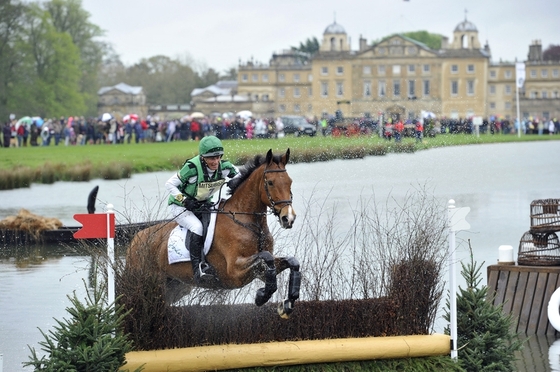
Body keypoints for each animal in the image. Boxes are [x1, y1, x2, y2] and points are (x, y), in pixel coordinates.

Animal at [127, 148, 302, 316]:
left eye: (290, 182)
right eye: (270, 182)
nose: (288, 218)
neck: (249, 224)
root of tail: (136, 239)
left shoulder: (258, 271)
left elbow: (291, 262)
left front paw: (287, 303)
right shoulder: (234, 272)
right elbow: (266, 257)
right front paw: (261, 296)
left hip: (175, 286)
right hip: (148, 284)